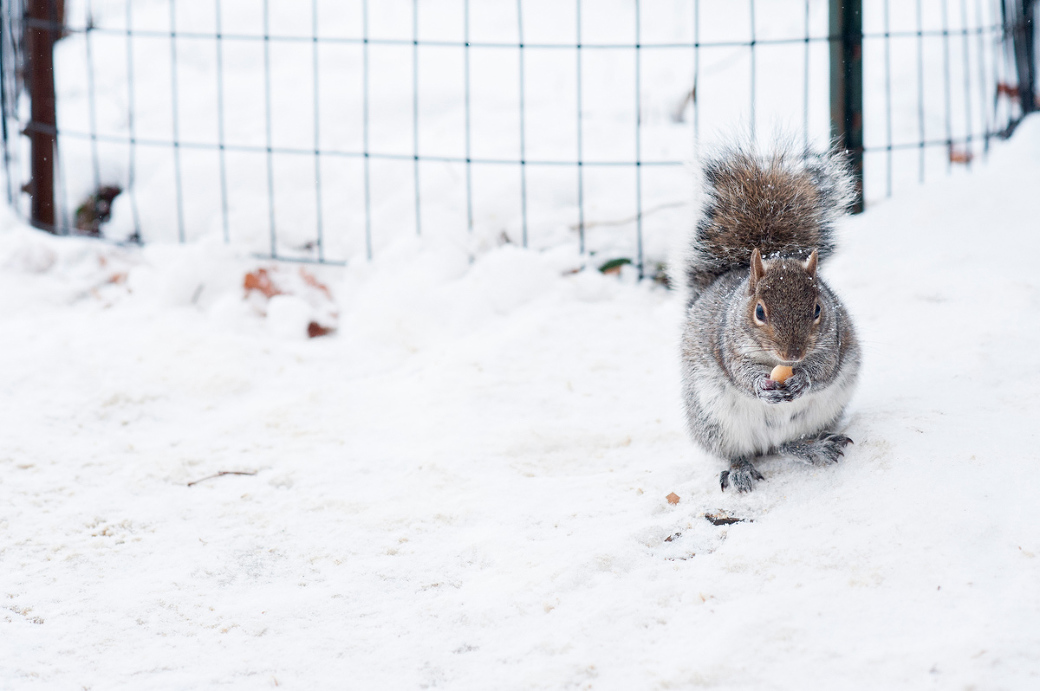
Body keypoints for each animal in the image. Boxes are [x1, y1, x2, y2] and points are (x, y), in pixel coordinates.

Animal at [680, 144, 861, 492]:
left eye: (818, 309)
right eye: (759, 312)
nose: (793, 355)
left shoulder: (833, 342)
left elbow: (824, 369)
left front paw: (803, 377)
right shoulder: (728, 346)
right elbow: (741, 372)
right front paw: (759, 384)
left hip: (825, 411)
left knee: (787, 443)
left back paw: (815, 447)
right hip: (717, 424)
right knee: (740, 451)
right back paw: (740, 469)